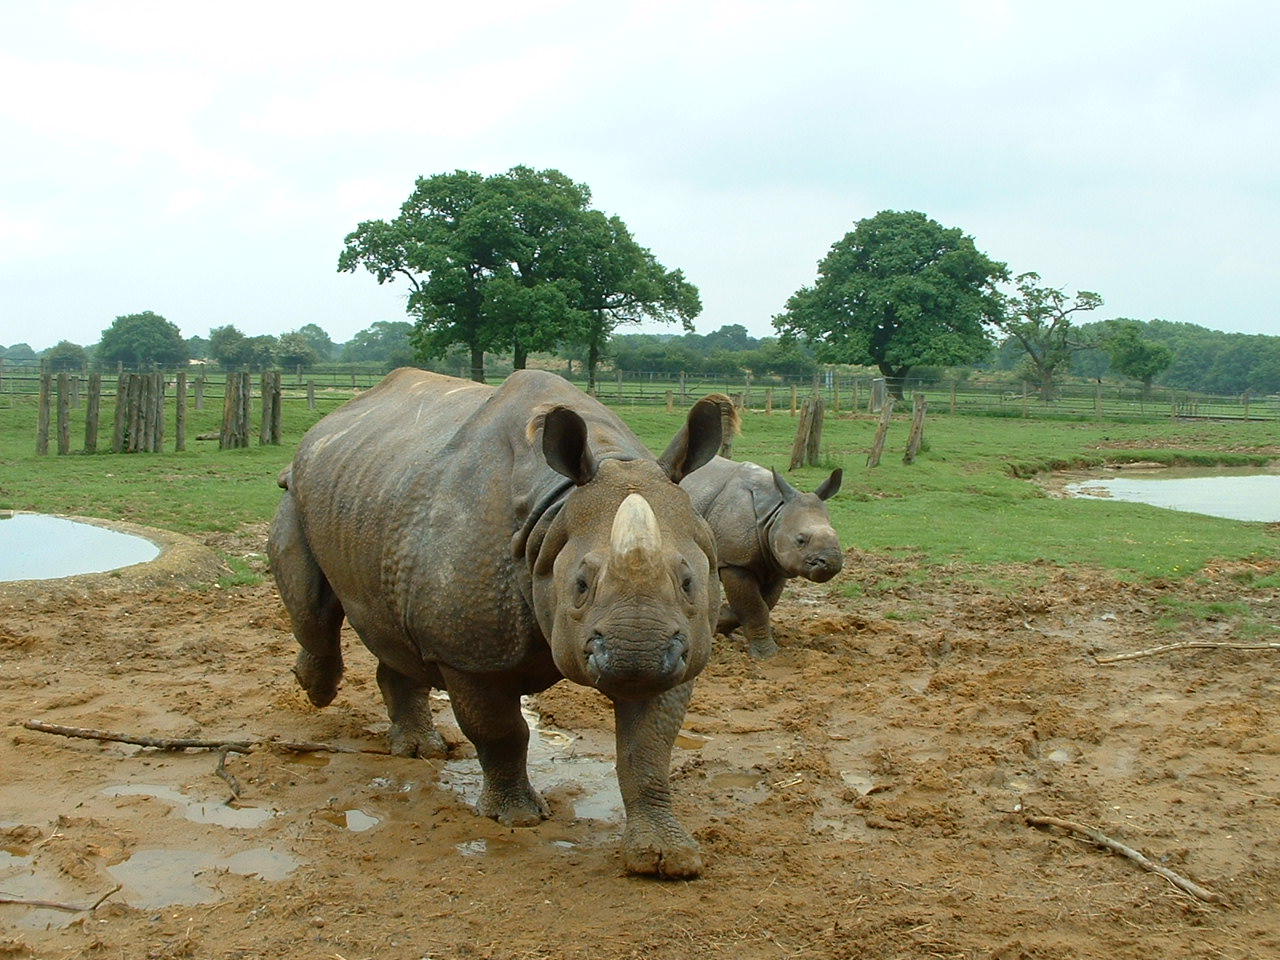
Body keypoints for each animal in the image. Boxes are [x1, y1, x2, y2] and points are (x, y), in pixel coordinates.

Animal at [268, 368, 724, 877]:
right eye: (581, 583)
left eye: (688, 581)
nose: (635, 657)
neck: (554, 512)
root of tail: (329, 424)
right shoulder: (468, 653)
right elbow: (501, 731)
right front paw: (516, 818)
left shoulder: (681, 649)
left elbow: (647, 749)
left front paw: (666, 859)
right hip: (301, 491)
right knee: (315, 608)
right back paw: (316, 690)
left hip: (377, 495)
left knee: (394, 634)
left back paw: (420, 750)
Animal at [681, 456, 843, 659]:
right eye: (800, 540)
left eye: (836, 534)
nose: (832, 563)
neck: (775, 512)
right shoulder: (736, 563)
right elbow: (754, 607)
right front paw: (767, 655)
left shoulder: (777, 564)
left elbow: (765, 603)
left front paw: (721, 624)